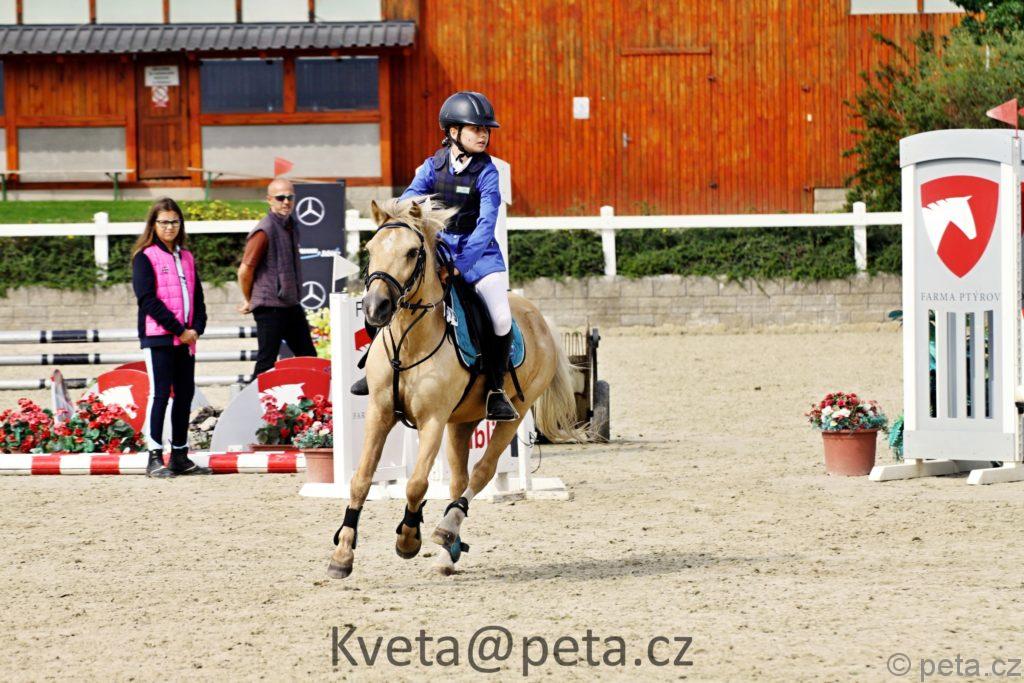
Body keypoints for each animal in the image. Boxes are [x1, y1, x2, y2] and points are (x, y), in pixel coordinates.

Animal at [327, 196, 584, 578]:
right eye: (370, 248)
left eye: (412, 252)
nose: (375, 308)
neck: (410, 341)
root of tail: (538, 318)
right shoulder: (380, 412)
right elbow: (360, 479)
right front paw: (342, 554)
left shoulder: (433, 420)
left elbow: (417, 483)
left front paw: (408, 539)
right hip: (462, 422)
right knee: (458, 481)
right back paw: (448, 550)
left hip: (513, 414)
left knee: (481, 473)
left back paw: (446, 529)